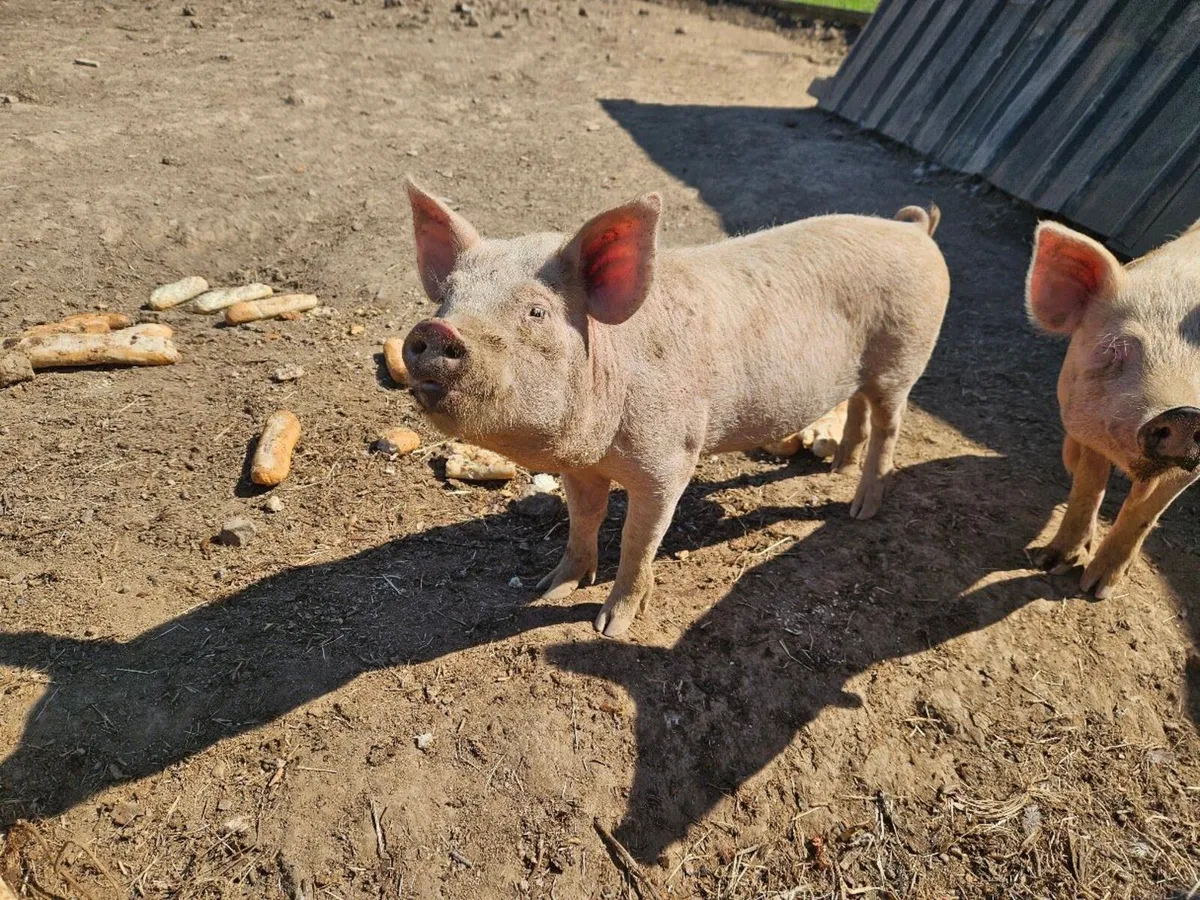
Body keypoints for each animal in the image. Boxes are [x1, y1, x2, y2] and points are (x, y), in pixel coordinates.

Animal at [401, 179, 950, 636]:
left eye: (536, 311)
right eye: (446, 299)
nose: (435, 329)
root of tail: (913, 230)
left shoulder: (670, 460)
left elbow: (638, 540)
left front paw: (609, 627)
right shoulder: (580, 467)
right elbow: (583, 521)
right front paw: (550, 588)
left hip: (904, 357)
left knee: (889, 424)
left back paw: (860, 510)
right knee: (858, 406)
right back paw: (838, 466)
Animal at [1028, 218, 1200, 597]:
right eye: (1115, 348)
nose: (1186, 416)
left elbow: (1144, 513)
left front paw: (1096, 591)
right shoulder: (1088, 423)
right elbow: (1089, 485)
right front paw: (1050, 563)